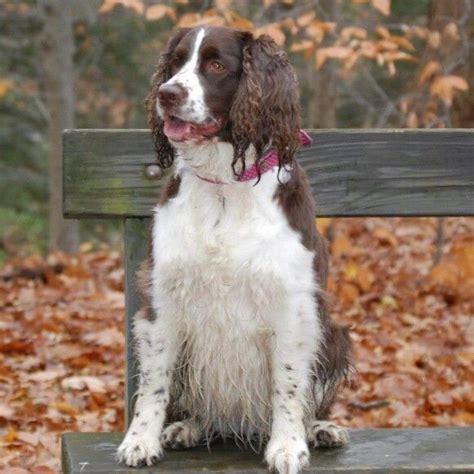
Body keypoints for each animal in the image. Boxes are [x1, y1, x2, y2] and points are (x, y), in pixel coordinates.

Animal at [116, 26, 350, 474]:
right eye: (175, 64)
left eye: (216, 65)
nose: (167, 94)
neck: (224, 186)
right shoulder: (162, 299)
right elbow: (154, 383)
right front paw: (140, 441)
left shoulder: (292, 305)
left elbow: (288, 383)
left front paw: (288, 446)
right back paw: (188, 427)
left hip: (334, 332)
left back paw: (320, 429)